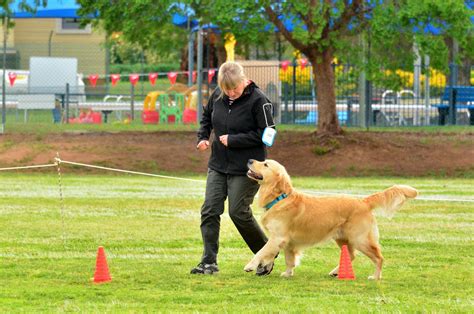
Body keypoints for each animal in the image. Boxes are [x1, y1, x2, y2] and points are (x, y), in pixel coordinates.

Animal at [246, 159, 416, 280]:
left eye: (265, 164)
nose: (249, 160)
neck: (279, 198)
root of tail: (363, 201)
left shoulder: (278, 237)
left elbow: (261, 252)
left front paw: (250, 266)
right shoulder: (288, 241)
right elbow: (289, 259)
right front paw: (287, 273)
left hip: (360, 239)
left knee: (379, 257)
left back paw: (375, 276)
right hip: (343, 238)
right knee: (352, 255)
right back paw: (336, 272)